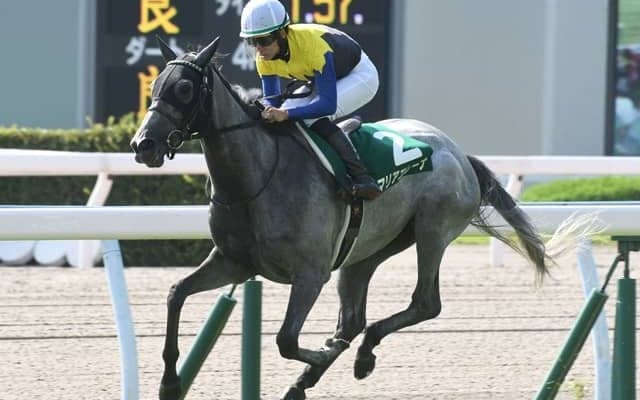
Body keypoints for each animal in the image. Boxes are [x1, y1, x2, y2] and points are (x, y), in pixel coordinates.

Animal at [130, 37, 579, 400]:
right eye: (154, 86)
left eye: (184, 88)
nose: (143, 144)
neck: (256, 178)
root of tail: (458, 152)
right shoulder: (233, 262)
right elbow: (175, 294)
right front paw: (169, 383)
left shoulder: (310, 274)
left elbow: (286, 340)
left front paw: (322, 353)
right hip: (366, 250)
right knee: (353, 320)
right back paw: (320, 373)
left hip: (433, 230)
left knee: (423, 304)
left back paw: (359, 356)